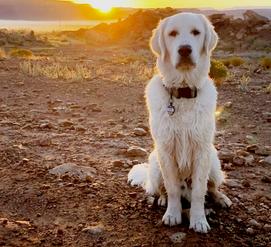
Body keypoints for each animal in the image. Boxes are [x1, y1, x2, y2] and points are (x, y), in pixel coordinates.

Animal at [129, 13, 233, 233]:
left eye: (196, 32)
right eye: (172, 33)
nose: (185, 49)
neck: (184, 92)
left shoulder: (202, 151)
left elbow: (200, 191)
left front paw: (199, 220)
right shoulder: (166, 151)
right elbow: (172, 188)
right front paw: (173, 214)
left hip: (213, 161)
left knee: (212, 187)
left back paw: (221, 198)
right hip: (155, 164)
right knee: (162, 189)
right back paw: (162, 200)